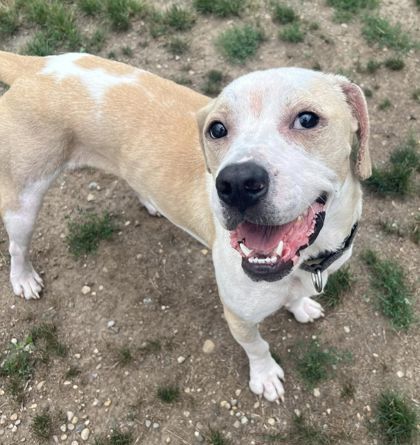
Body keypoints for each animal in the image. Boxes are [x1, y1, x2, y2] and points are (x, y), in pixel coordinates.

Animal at [0, 50, 370, 400]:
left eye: (307, 119)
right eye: (217, 129)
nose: (236, 183)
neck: (309, 258)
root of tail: (37, 66)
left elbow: (297, 297)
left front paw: (300, 306)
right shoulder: (239, 315)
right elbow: (257, 346)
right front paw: (264, 376)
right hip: (25, 198)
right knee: (17, 246)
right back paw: (24, 278)